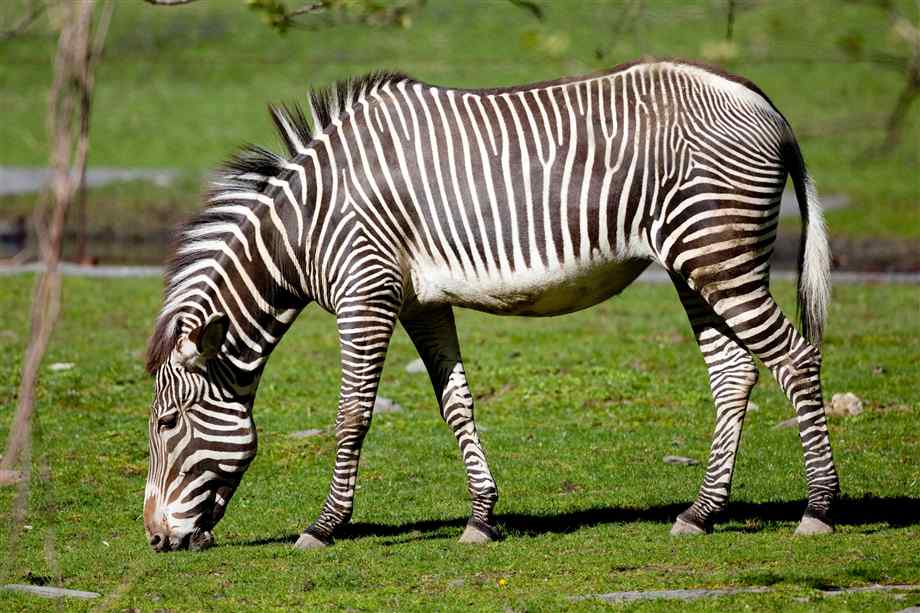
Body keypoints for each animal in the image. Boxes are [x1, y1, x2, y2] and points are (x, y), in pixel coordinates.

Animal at [143, 60, 839, 552]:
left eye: (167, 424)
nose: (154, 539)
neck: (306, 225)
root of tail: (759, 99)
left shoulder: (366, 292)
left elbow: (351, 416)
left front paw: (323, 526)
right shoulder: (420, 301)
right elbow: (456, 405)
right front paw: (481, 518)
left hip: (717, 250)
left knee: (795, 358)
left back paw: (818, 510)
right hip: (694, 263)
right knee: (735, 373)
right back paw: (701, 513)